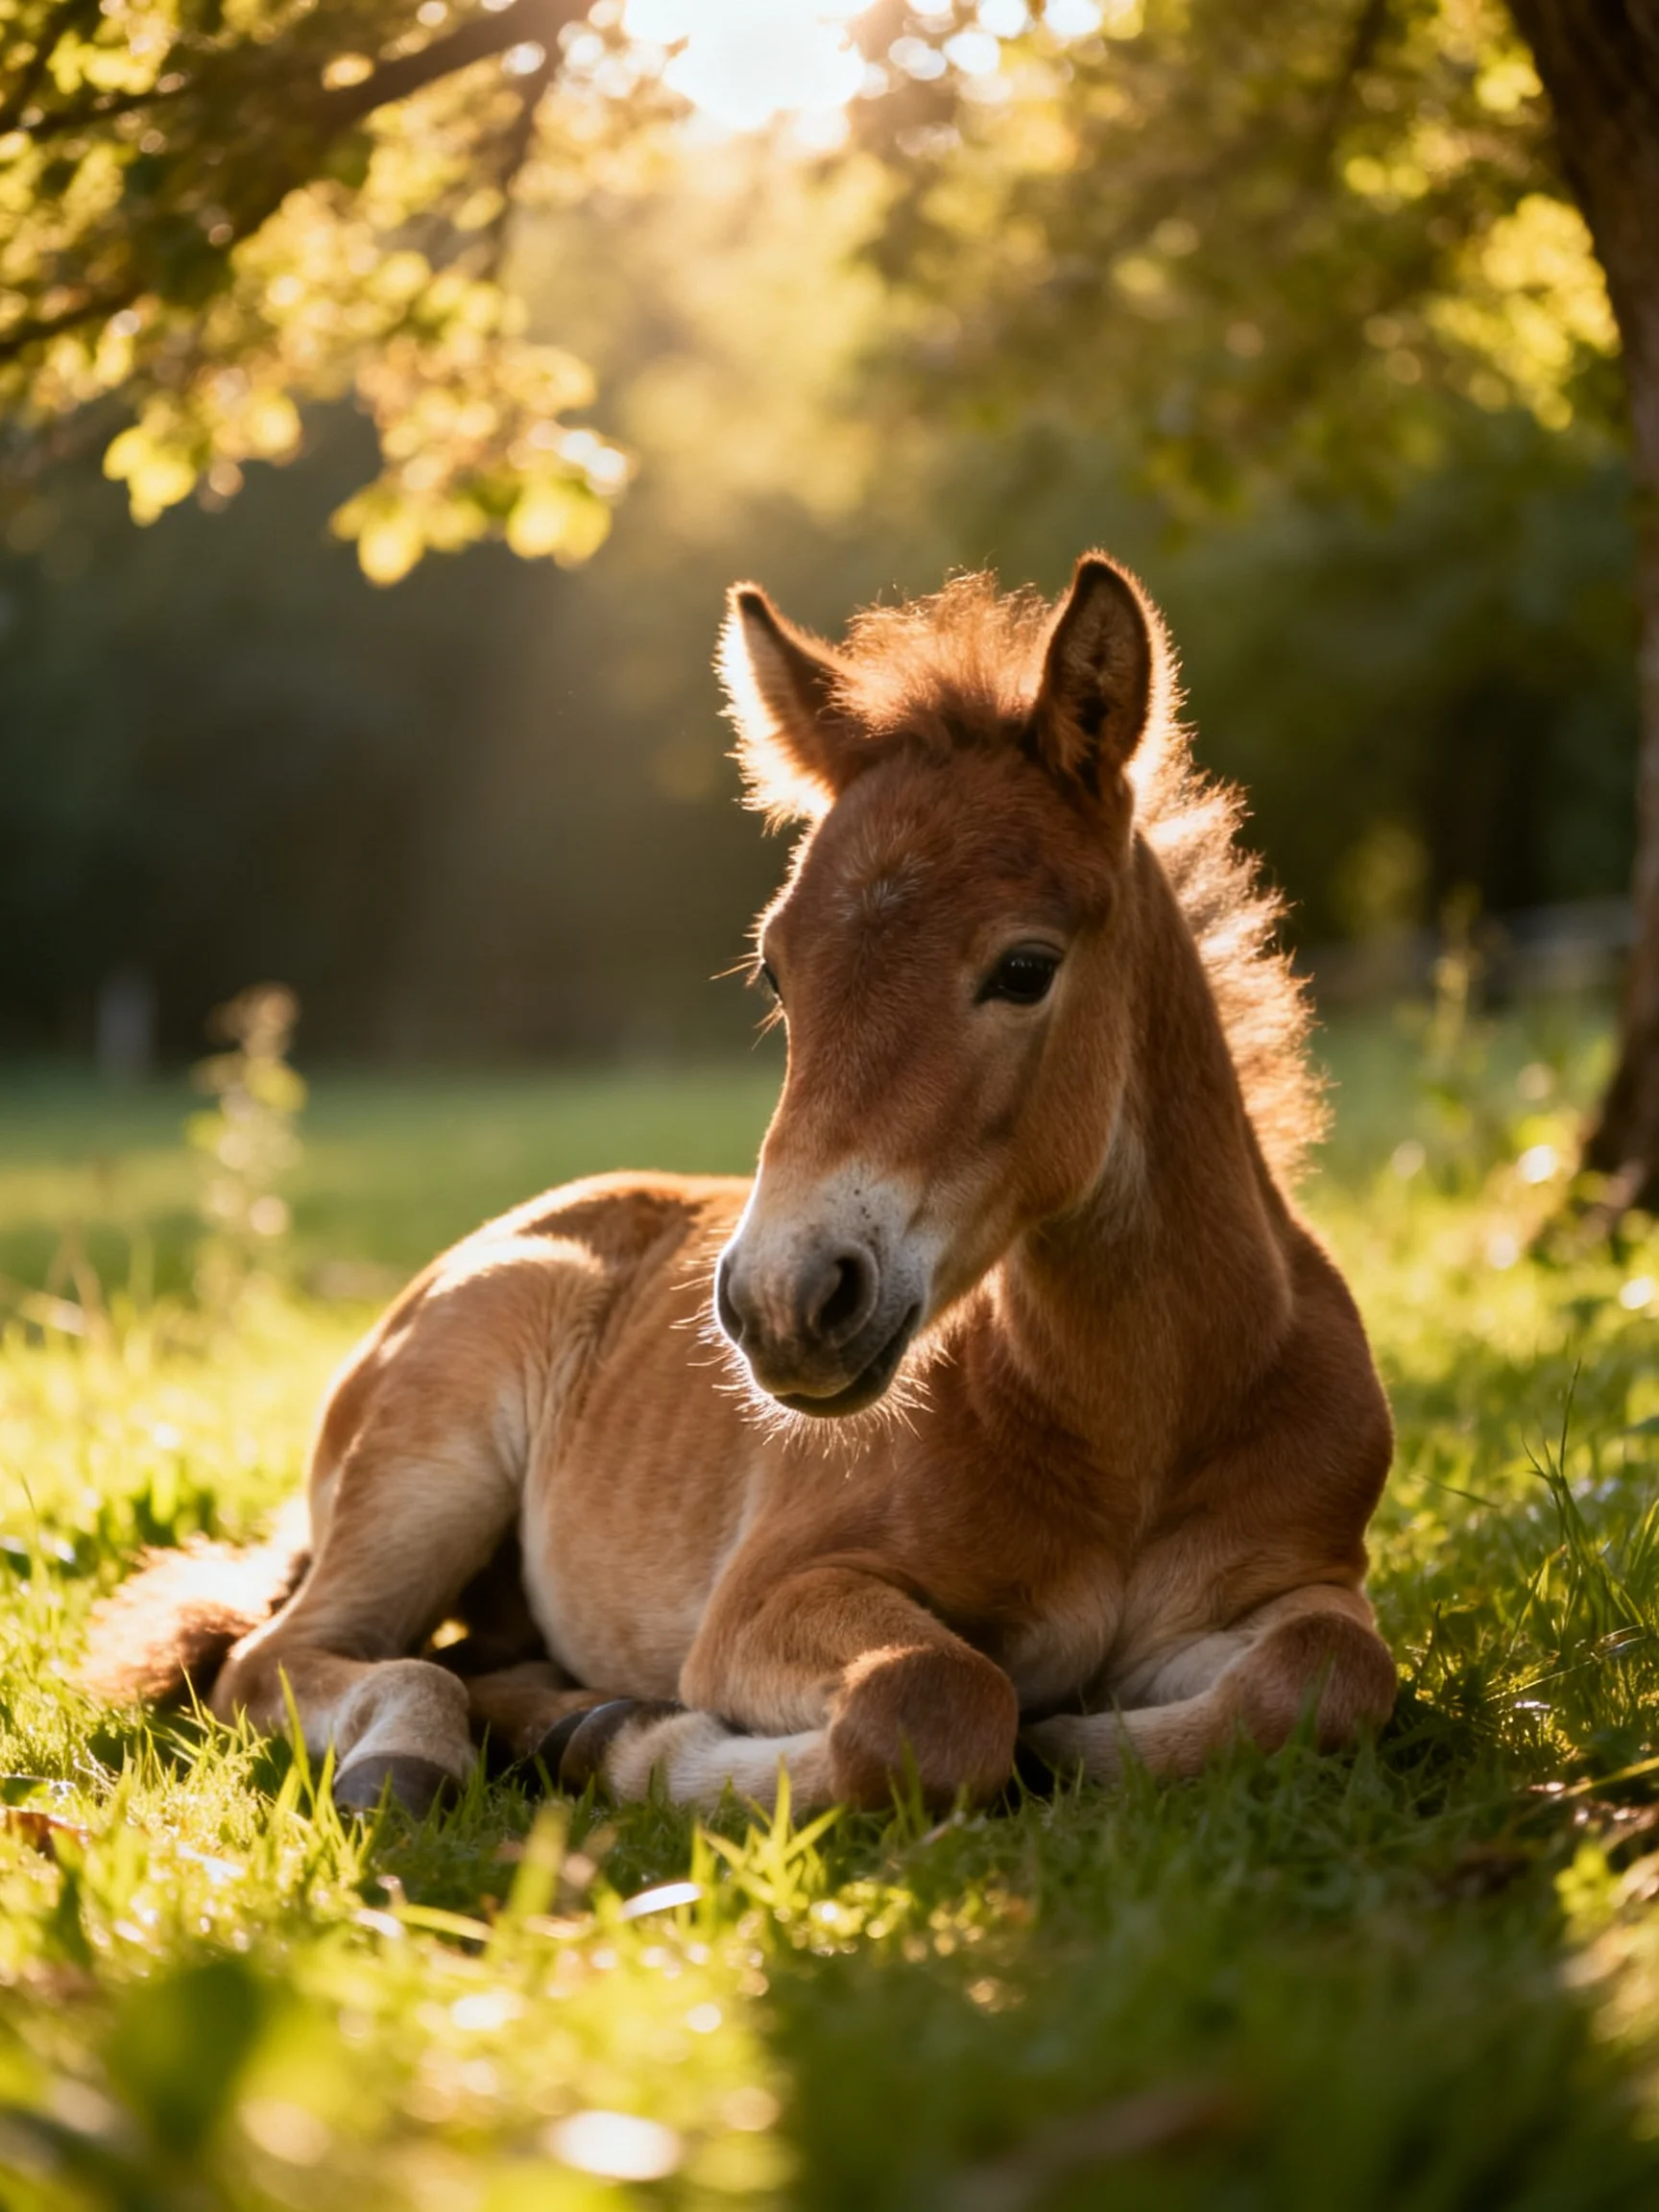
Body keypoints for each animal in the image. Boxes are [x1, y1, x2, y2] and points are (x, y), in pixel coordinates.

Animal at [82, 552, 1396, 1817]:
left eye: (1026, 968)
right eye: (775, 972)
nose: (783, 1303)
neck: (1136, 1420)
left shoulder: (1289, 1579)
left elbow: (1331, 1672)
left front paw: (1087, 1739)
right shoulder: (767, 1595)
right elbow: (937, 1695)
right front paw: (651, 1750)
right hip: (432, 1463)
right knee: (283, 1658)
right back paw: (433, 1754)